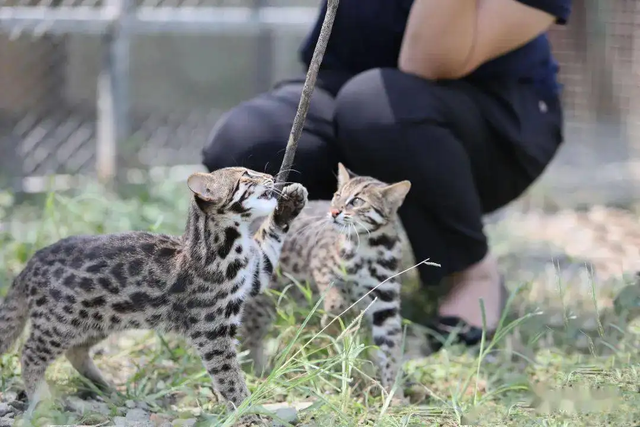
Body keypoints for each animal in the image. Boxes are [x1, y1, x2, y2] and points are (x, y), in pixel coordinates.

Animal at [0, 167, 308, 422]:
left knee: (75, 351)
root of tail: (31, 263)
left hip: (97, 319)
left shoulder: (254, 274)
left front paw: (290, 204)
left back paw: (104, 386)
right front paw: (246, 410)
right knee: (29, 354)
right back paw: (40, 397)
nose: (270, 176)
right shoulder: (212, 332)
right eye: (245, 175)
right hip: (59, 323)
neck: (229, 244)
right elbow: (229, 377)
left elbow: (269, 244)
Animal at [242, 163, 412, 398]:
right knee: (248, 337)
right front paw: (332, 319)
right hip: (260, 303)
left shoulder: (385, 305)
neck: (370, 247)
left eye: (357, 201)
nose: (334, 212)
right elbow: (335, 297)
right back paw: (255, 374)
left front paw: (394, 395)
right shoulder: (320, 266)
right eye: (337, 195)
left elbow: (391, 351)